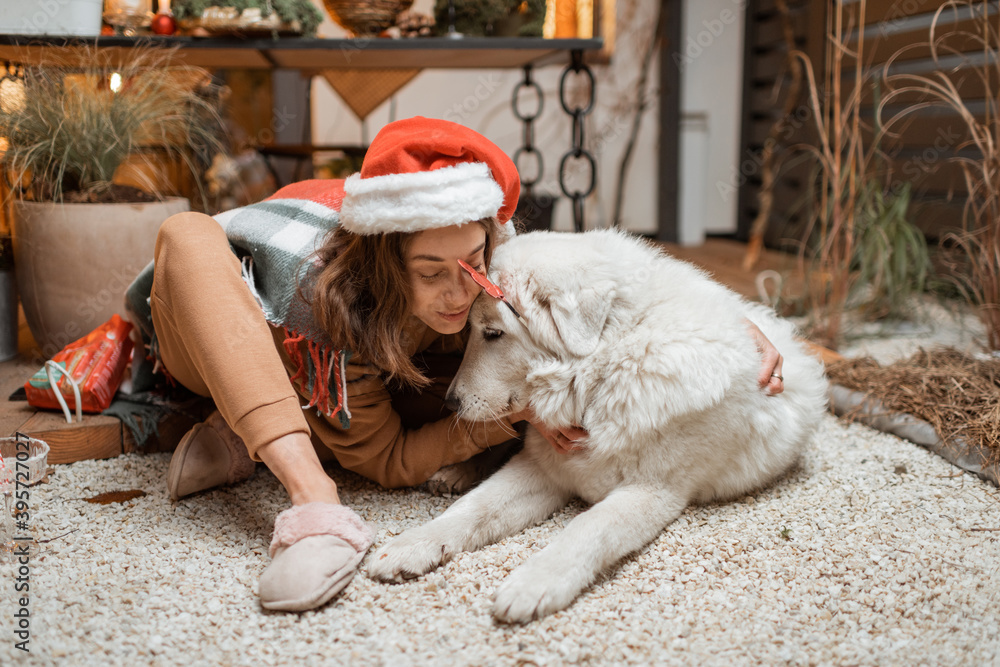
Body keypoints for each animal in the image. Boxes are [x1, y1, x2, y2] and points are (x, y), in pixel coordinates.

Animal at [368, 230, 828, 620]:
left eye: (493, 333)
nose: (451, 403)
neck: (608, 370)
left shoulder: (650, 492)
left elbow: (588, 528)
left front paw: (533, 583)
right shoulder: (543, 468)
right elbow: (474, 508)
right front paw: (411, 545)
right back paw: (453, 473)